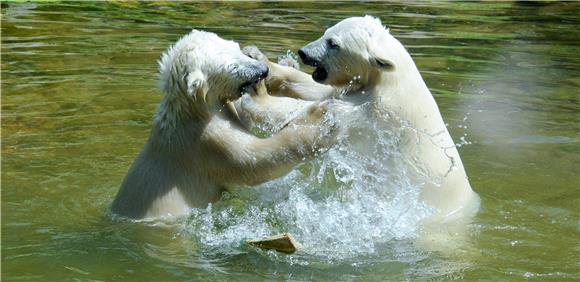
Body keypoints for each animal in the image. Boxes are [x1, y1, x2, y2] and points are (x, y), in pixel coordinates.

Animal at [112, 30, 340, 220]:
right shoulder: (205, 143)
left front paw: (278, 64)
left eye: (237, 48)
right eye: (233, 66)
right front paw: (320, 120)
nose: (263, 71)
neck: (192, 110)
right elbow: (255, 160)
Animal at [241, 16, 480, 224]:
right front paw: (259, 58)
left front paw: (258, 95)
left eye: (333, 43)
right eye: (326, 31)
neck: (391, 79)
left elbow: (321, 111)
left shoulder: (373, 114)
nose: (303, 52)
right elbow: (318, 91)